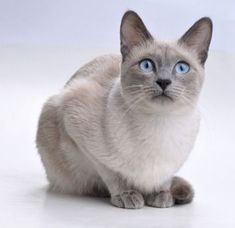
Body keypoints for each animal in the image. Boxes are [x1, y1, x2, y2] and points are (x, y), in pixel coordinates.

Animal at [36, 10, 213, 208]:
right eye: (146, 65)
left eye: (181, 67)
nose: (164, 81)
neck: (161, 123)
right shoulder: (75, 122)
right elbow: (112, 174)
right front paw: (126, 195)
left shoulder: (172, 165)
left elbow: (165, 179)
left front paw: (160, 195)